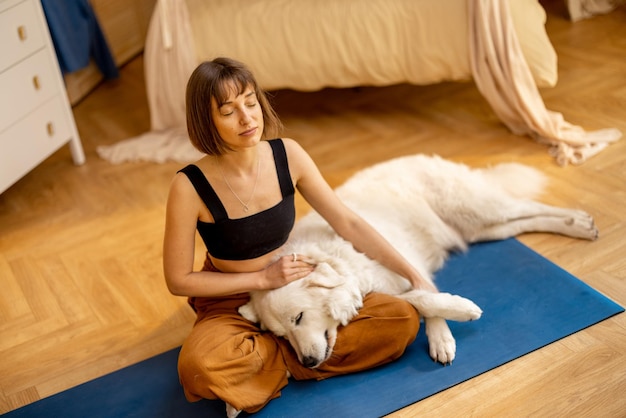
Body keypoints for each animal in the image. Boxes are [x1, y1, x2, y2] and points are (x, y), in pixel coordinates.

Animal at [238, 155, 596, 370]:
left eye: (298, 318)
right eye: (282, 336)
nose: (308, 362)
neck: (340, 259)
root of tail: (418, 157)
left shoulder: (408, 267)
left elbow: (425, 297)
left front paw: (451, 324)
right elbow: (419, 301)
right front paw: (448, 323)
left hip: (480, 210)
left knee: (529, 205)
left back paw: (578, 221)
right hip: (483, 229)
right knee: (526, 221)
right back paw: (575, 225)